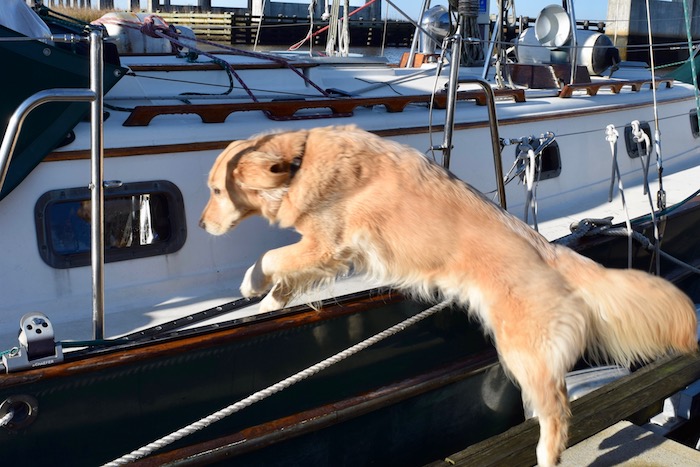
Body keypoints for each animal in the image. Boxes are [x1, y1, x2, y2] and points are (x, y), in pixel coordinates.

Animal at [200, 126, 696, 466]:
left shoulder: (328, 243)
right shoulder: (329, 254)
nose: (202, 226)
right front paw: (267, 304)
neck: (303, 159)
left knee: (557, 409)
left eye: (217, 190)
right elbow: (287, 274)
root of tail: (554, 252)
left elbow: (271, 257)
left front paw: (251, 285)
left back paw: (547, 454)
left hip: (521, 350)